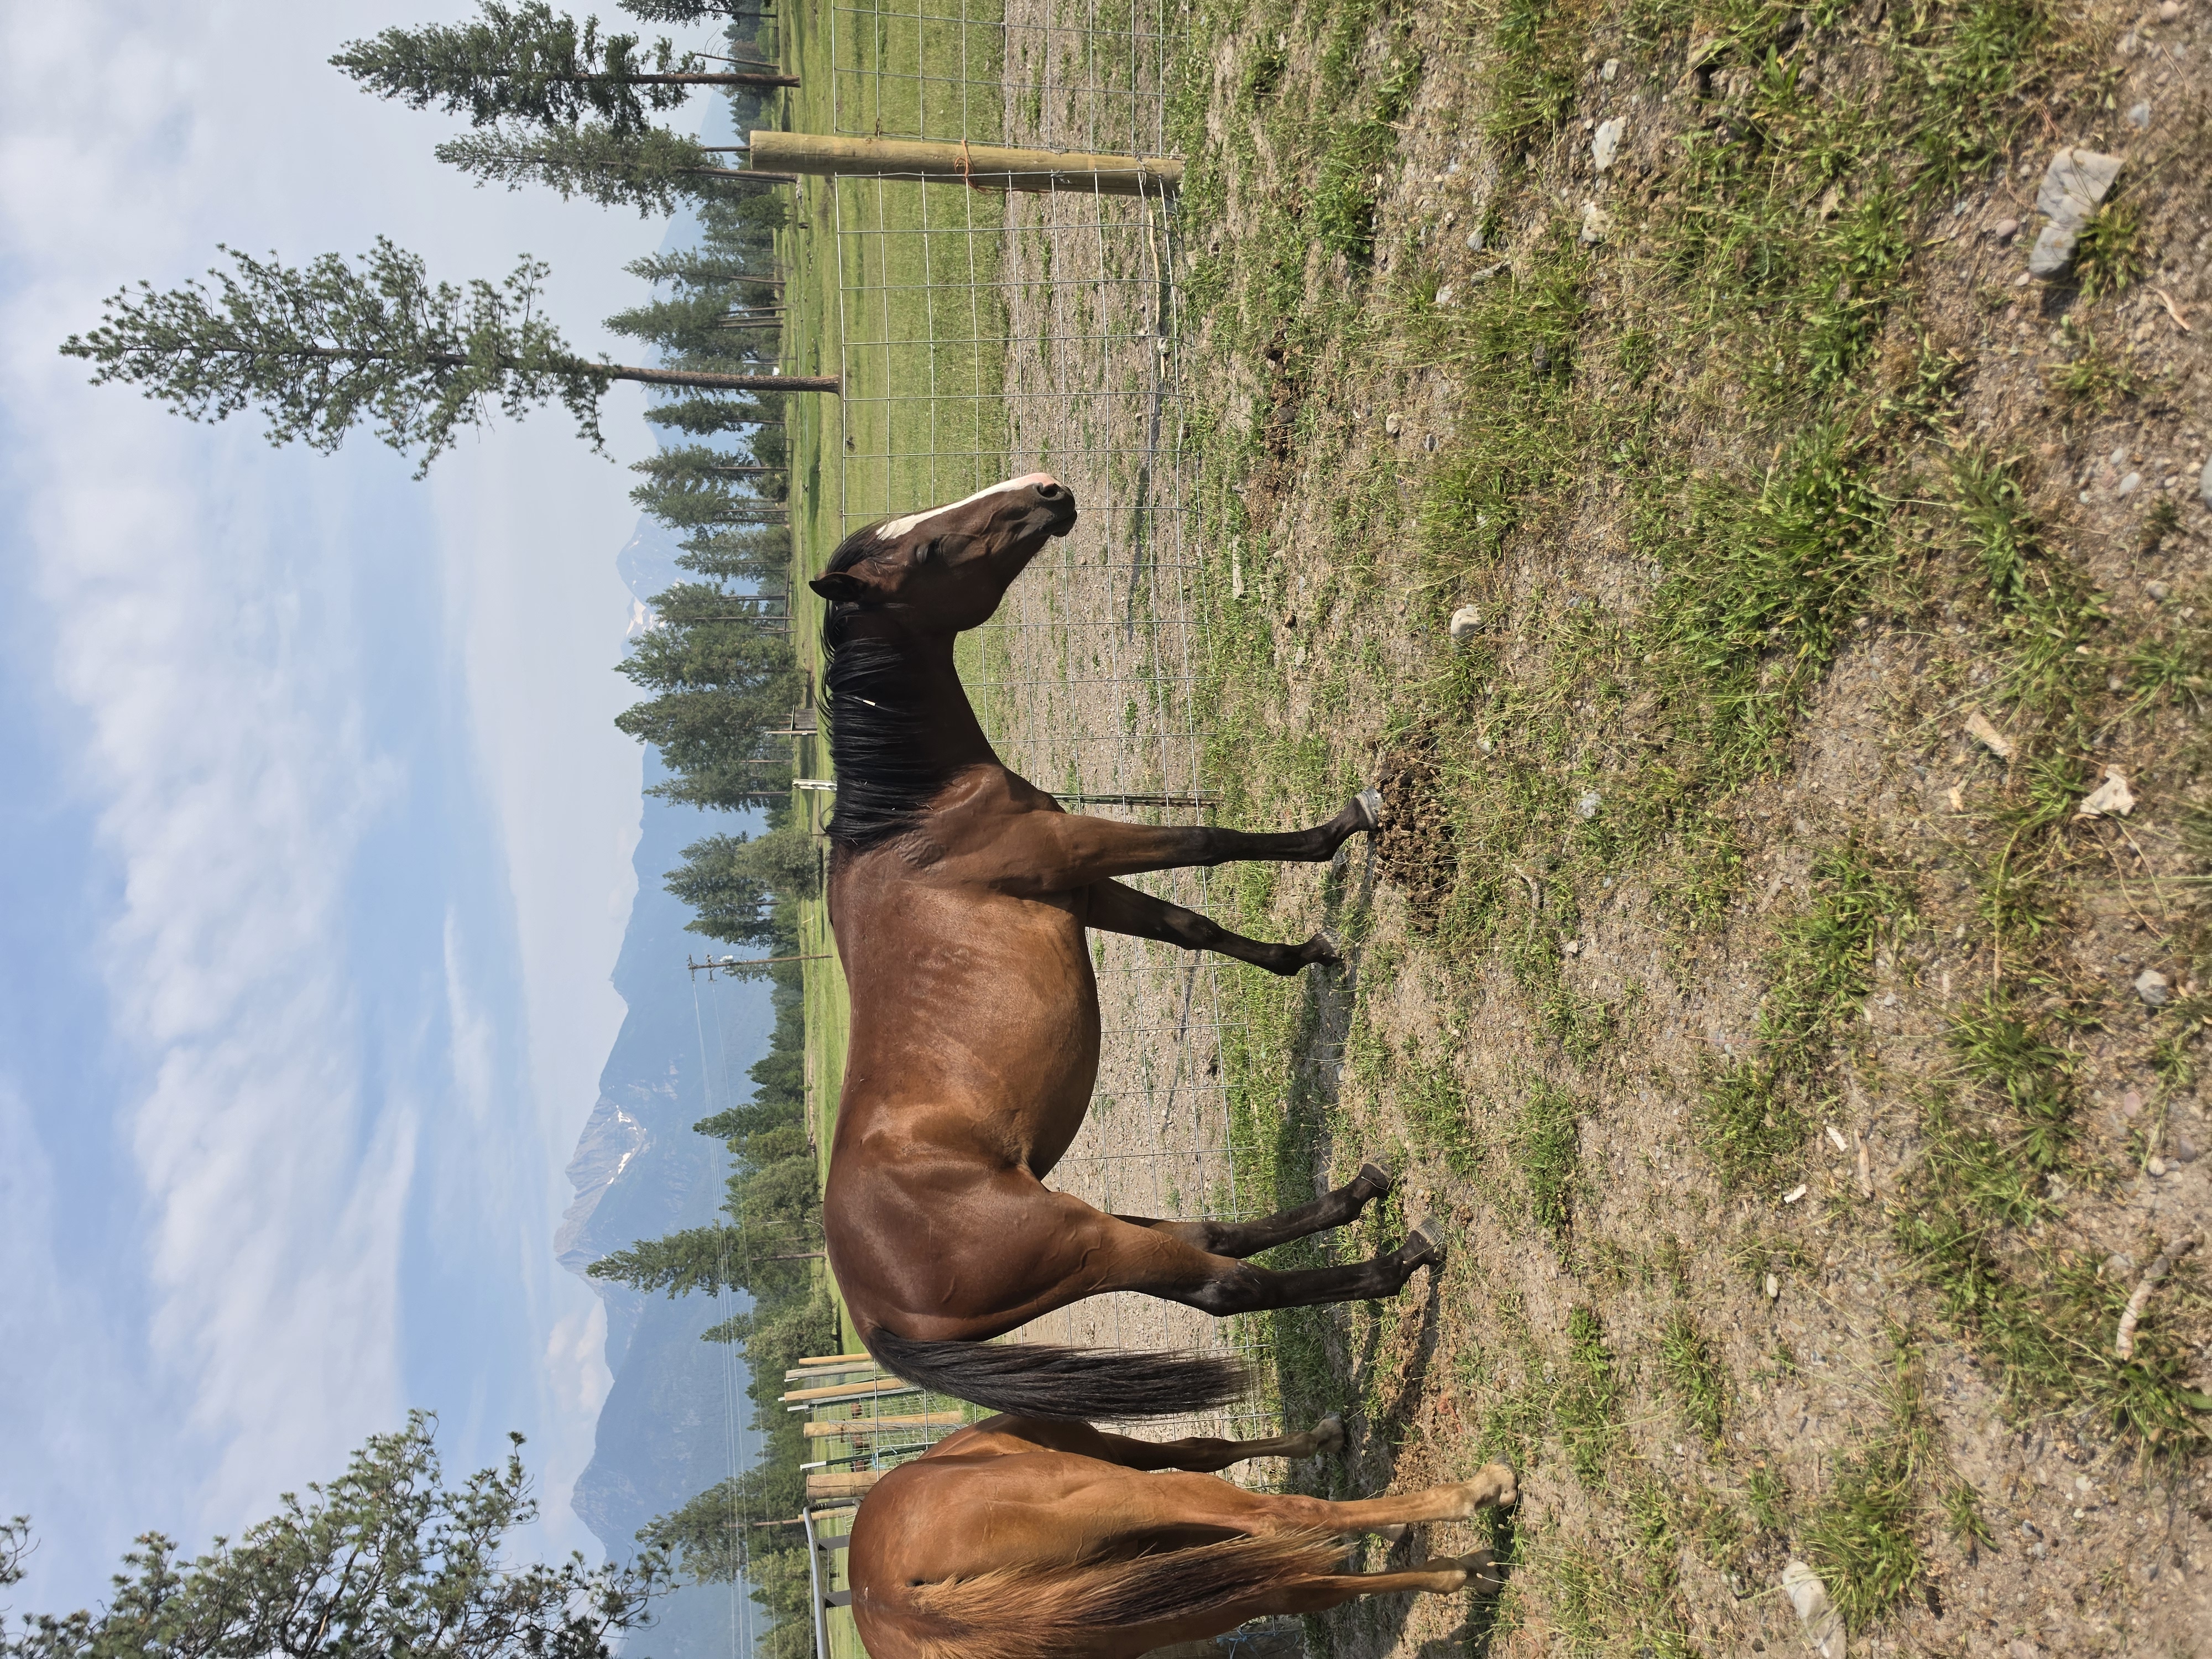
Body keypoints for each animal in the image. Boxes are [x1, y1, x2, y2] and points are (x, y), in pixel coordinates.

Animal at [808, 471, 1446, 1419]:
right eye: (924, 549)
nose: (1047, 491)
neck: (918, 815)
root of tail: (872, 1311)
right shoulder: (1083, 850)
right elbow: (1208, 841)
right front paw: (1343, 830)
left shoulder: (1086, 891)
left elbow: (1193, 928)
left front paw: (1307, 953)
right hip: (1086, 1244)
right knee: (1228, 1286)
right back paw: (1396, 1263)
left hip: (1098, 1234)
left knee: (1210, 1235)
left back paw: (1352, 1196)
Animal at [845, 1413, 1519, 1659]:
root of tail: (889, 1596)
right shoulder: (1125, 1466)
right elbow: (1206, 1451)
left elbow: (1206, 1447)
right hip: (1142, 1505)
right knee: (1287, 1517)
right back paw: (1475, 1499)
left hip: (1139, 1620)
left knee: (1294, 1591)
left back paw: (1465, 1572)